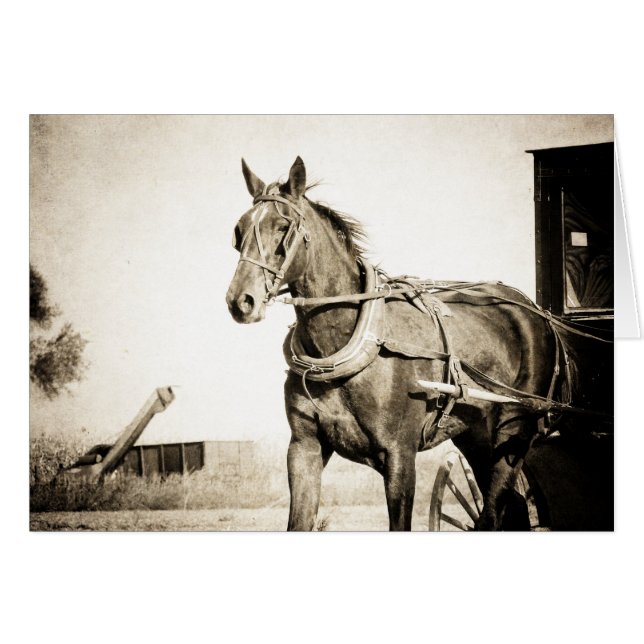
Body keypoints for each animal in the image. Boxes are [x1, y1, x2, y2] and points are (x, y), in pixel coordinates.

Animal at [225, 156, 578, 531]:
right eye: (239, 230)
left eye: (283, 226)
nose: (240, 301)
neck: (347, 349)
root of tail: (538, 313)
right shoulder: (304, 448)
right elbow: (299, 522)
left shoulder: (399, 456)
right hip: (476, 437)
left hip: (513, 432)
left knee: (496, 510)